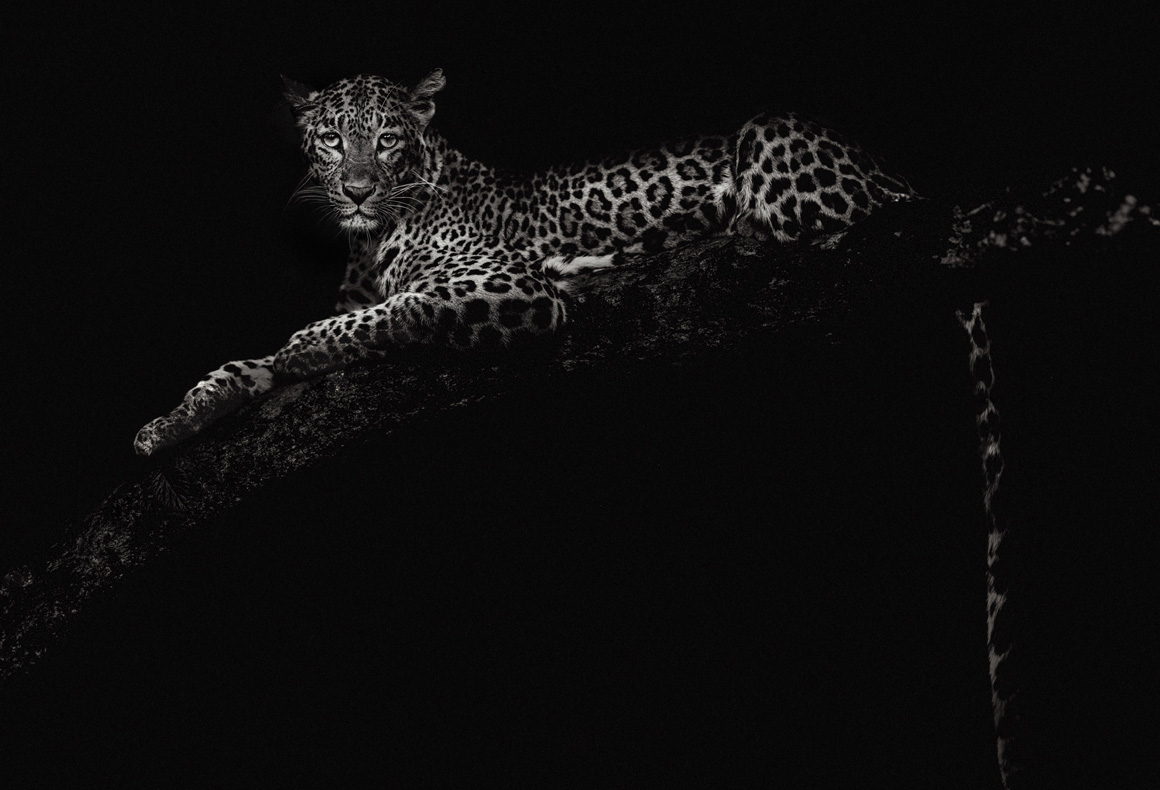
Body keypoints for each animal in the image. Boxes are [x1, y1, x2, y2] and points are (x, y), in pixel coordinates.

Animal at [133, 69, 916, 457]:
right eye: (331, 138)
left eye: (386, 140)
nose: (356, 190)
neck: (370, 237)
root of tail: (890, 169)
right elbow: (245, 364)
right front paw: (170, 424)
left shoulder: (511, 287)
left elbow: (391, 312)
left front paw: (303, 348)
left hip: (772, 134)